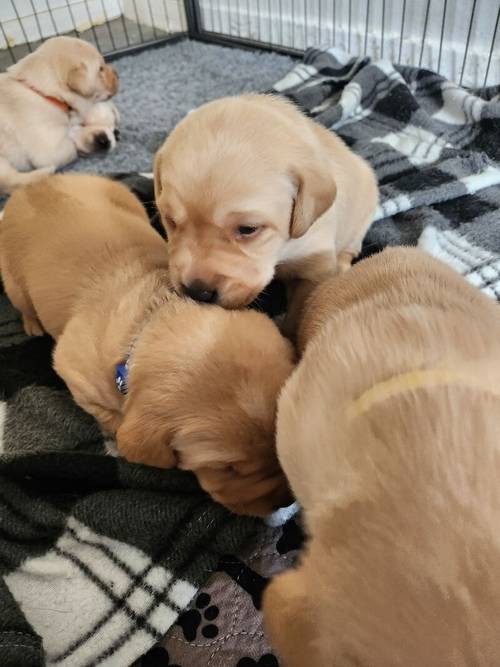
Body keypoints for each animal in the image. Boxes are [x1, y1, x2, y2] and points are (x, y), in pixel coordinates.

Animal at [0, 36, 119, 194]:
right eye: (100, 69)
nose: (117, 74)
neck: (43, 92)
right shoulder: (49, 146)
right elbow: (70, 148)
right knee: (11, 182)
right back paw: (47, 172)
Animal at [0, 175, 294, 516]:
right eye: (227, 469)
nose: (285, 503)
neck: (154, 314)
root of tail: (38, 182)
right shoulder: (71, 367)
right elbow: (109, 415)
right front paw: (115, 429)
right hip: (13, 282)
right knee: (23, 303)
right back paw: (31, 324)